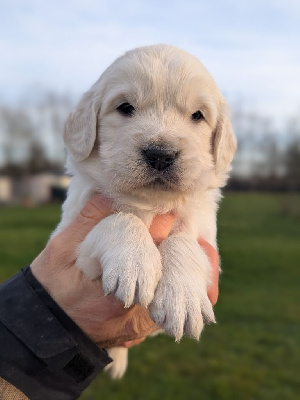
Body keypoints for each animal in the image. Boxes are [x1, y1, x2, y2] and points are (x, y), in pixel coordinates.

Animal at [52, 44, 237, 378]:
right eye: (125, 107)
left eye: (197, 115)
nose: (160, 155)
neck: (149, 203)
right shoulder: (69, 240)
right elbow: (119, 219)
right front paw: (134, 264)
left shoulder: (207, 241)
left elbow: (185, 242)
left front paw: (182, 297)